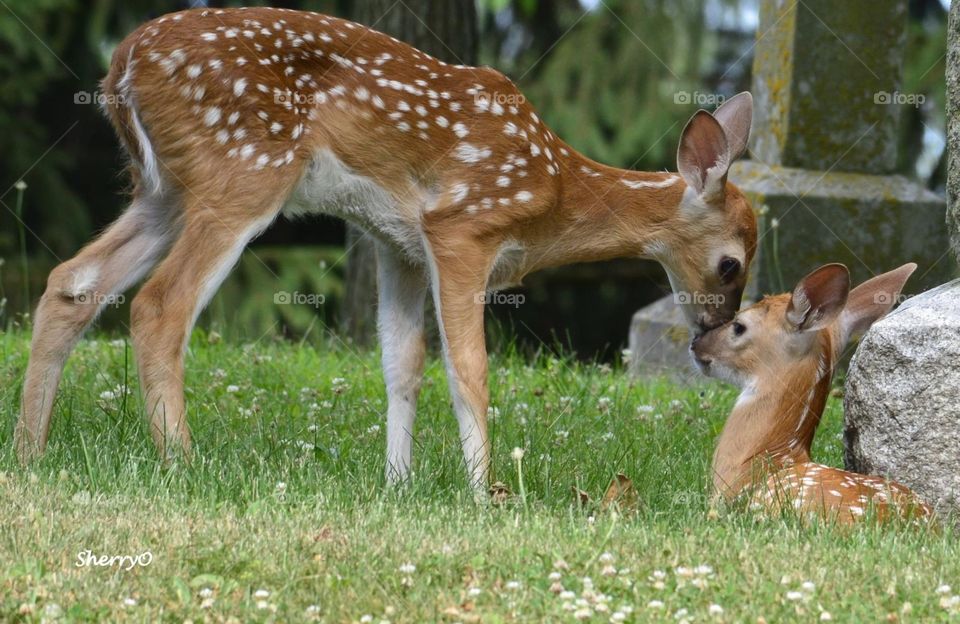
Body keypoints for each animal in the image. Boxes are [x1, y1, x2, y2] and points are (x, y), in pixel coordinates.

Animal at [14, 7, 758, 490]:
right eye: (732, 263)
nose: (714, 332)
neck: (553, 192)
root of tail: (121, 64)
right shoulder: (463, 228)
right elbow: (468, 367)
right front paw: (485, 493)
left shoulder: (396, 245)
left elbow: (403, 364)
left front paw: (397, 484)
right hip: (242, 170)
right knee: (159, 304)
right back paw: (183, 466)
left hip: (163, 189)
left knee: (70, 281)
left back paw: (28, 455)